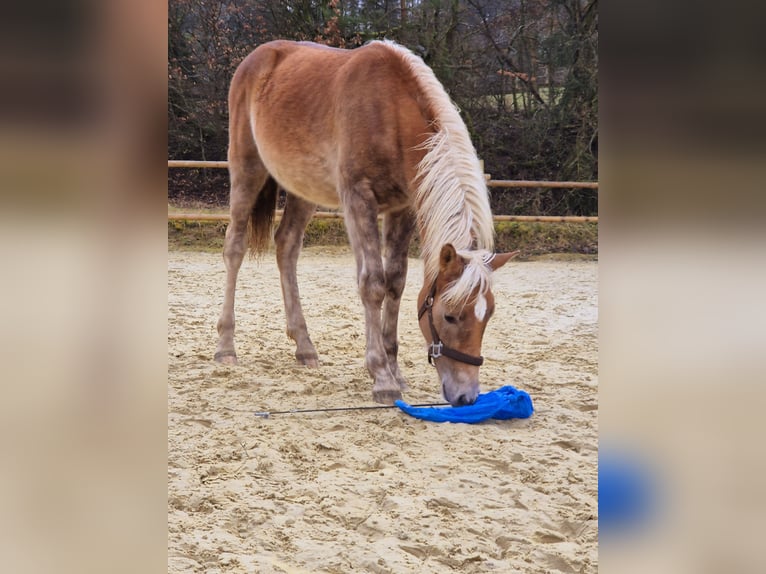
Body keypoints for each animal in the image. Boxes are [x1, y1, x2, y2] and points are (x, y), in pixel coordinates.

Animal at [213, 40, 520, 408]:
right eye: (449, 315)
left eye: (488, 314)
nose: (466, 396)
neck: (390, 111)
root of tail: (257, 58)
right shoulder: (358, 199)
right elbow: (372, 282)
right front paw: (381, 376)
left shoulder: (403, 207)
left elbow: (395, 282)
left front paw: (394, 367)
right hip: (247, 170)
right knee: (235, 247)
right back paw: (225, 346)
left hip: (303, 188)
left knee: (286, 246)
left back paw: (305, 347)